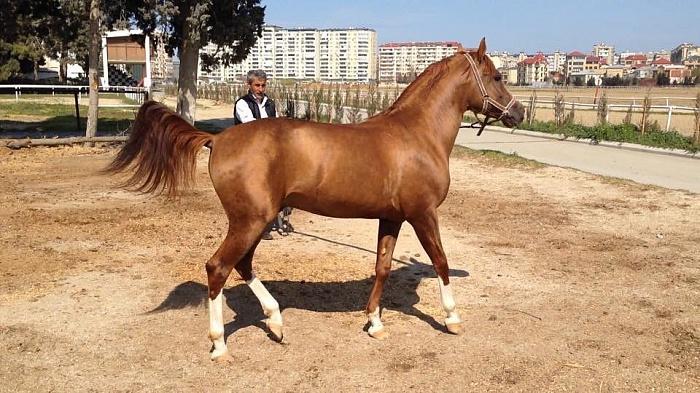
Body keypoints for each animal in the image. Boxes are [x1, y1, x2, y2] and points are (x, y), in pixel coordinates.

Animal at [108, 38, 524, 360]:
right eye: (497, 77)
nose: (518, 112)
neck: (417, 133)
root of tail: (218, 139)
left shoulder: (391, 218)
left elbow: (383, 267)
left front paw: (374, 323)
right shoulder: (423, 214)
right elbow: (440, 261)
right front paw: (452, 318)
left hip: (254, 220)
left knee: (242, 265)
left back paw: (276, 321)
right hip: (250, 220)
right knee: (218, 268)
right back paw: (220, 346)